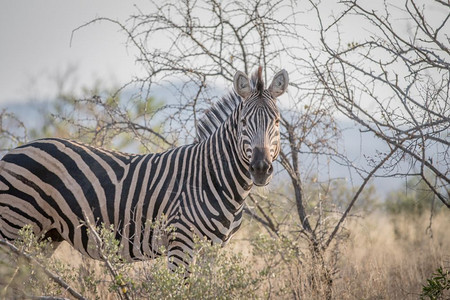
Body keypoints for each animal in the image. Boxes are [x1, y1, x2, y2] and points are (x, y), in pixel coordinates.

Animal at [0, 67, 288, 268]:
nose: (260, 168)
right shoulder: (180, 242)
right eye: (243, 122)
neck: (212, 178)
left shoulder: (212, 249)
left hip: (45, 236)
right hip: (13, 229)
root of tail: (12, 152)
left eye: (276, 121)